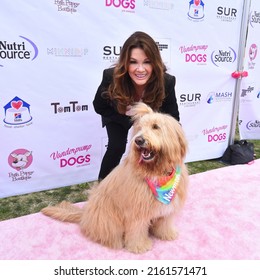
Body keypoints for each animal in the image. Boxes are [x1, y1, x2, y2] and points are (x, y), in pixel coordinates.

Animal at [42, 102, 189, 254]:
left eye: (155, 126)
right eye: (139, 128)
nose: (138, 140)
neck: (156, 172)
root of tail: (85, 215)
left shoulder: (167, 208)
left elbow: (164, 222)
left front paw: (166, 233)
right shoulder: (136, 211)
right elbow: (137, 230)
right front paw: (139, 246)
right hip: (108, 219)